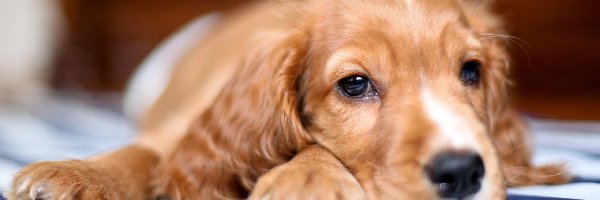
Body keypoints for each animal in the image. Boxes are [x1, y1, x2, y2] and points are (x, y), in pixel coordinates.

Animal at [5, 0, 568, 199]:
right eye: (355, 84)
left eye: (471, 71)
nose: (463, 172)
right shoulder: (192, 127)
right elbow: (148, 153)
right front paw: (75, 176)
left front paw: (306, 180)